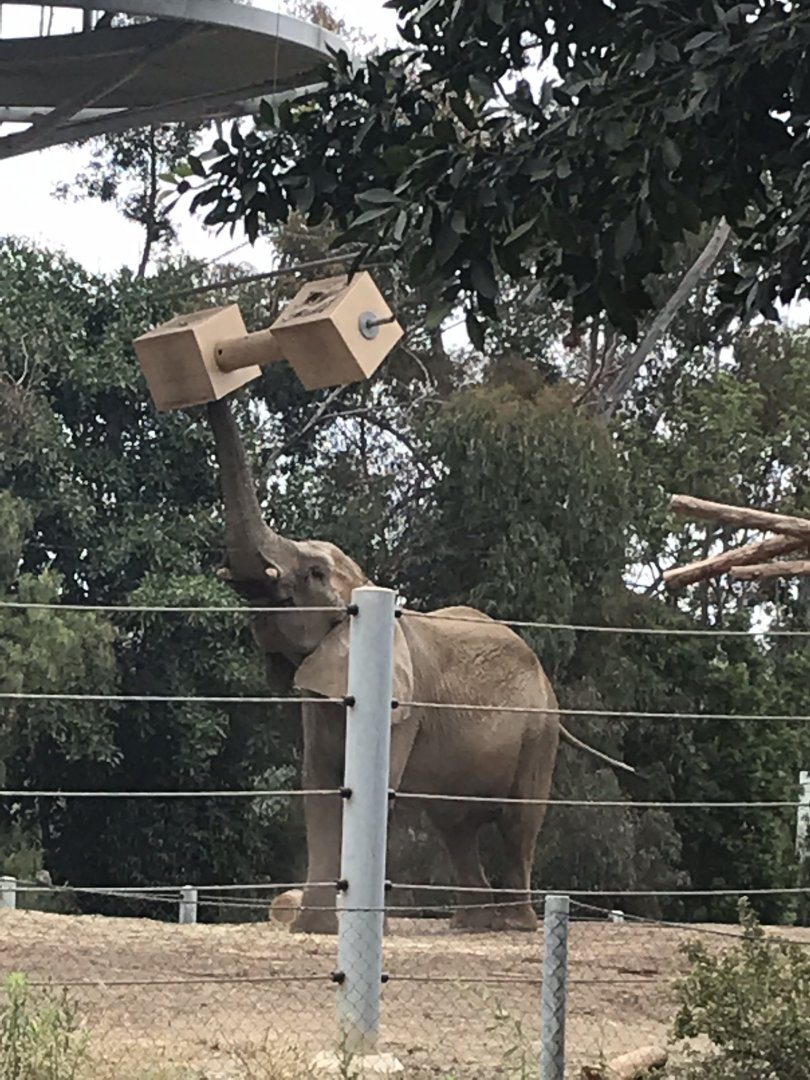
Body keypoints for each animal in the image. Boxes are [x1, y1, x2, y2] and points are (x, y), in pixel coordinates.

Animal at [206, 398, 630, 934]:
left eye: (315, 573)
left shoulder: (399, 706)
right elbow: (319, 786)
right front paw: (315, 929)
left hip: (539, 731)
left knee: (518, 821)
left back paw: (516, 925)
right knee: (456, 826)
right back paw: (473, 925)